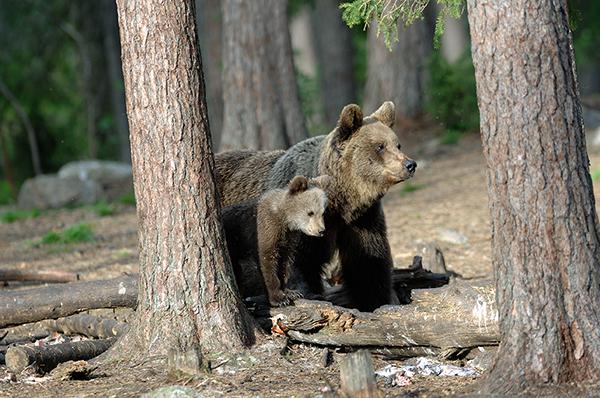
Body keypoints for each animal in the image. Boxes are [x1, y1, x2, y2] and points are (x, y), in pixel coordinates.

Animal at [216, 102, 418, 310]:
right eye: (380, 146)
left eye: (397, 144)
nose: (410, 164)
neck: (342, 201)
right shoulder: (301, 222)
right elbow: (301, 262)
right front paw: (310, 294)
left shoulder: (362, 219)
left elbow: (368, 261)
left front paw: (374, 300)